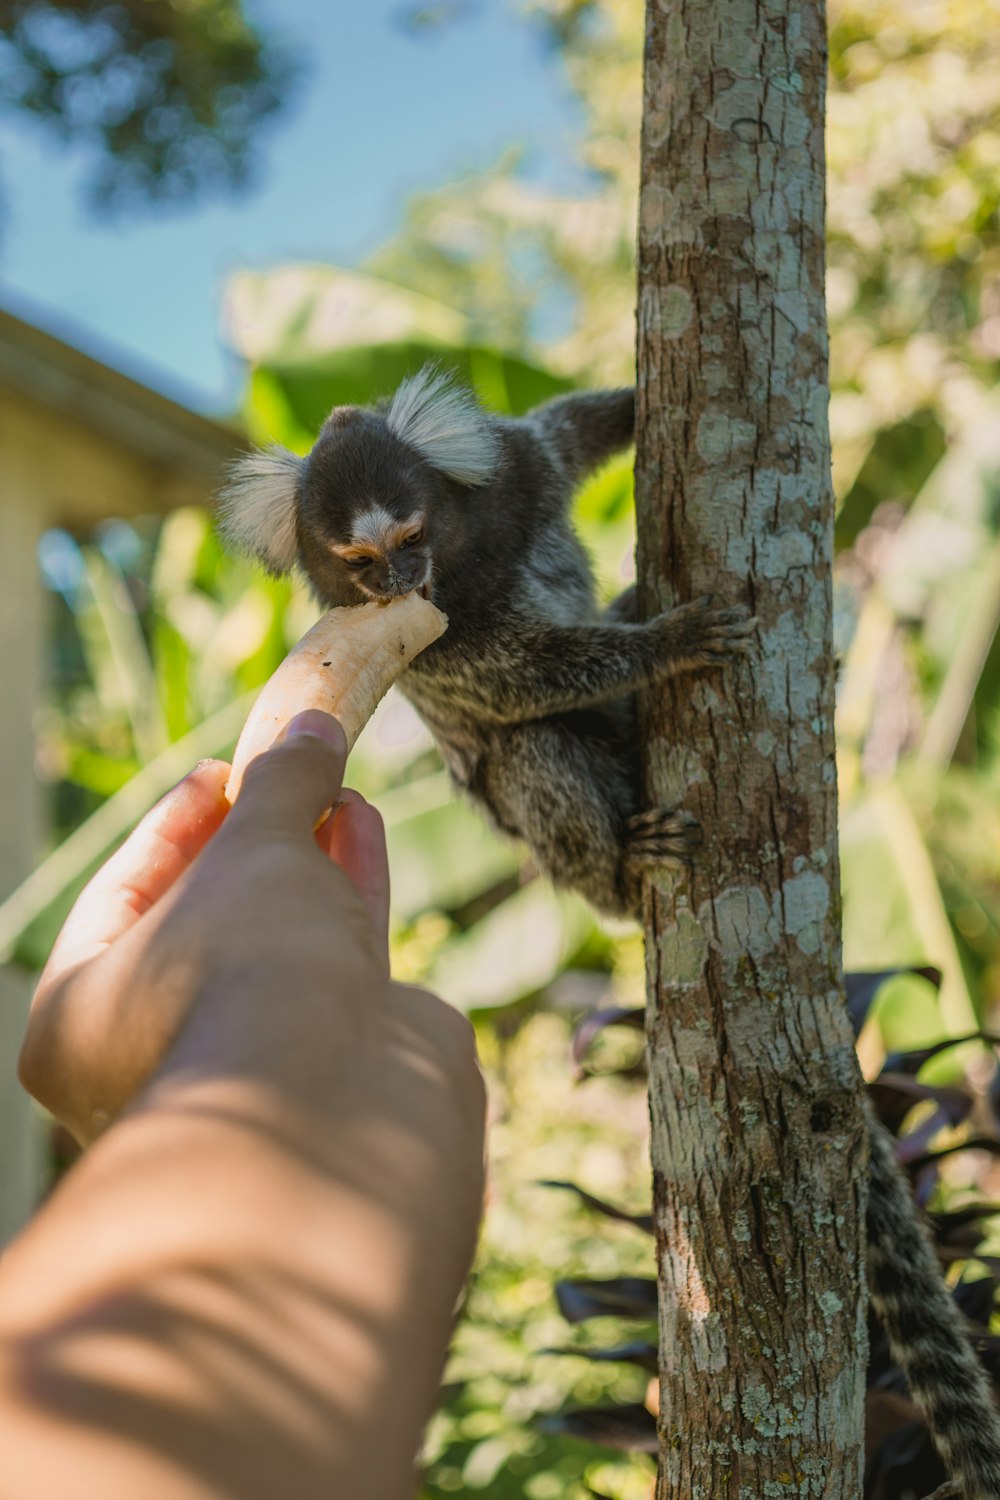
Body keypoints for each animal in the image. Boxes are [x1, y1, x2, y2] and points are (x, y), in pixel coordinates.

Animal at [223, 366, 1000, 1500]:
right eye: (359, 562)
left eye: (409, 532)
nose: (397, 579)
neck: (462, 560)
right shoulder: (440, 640)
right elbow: (522, 679)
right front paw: (663, 645)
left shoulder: (516, 472)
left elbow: (568, 436)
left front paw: (634, 403)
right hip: (565, 849)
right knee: (532, 752)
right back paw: (631, 863)